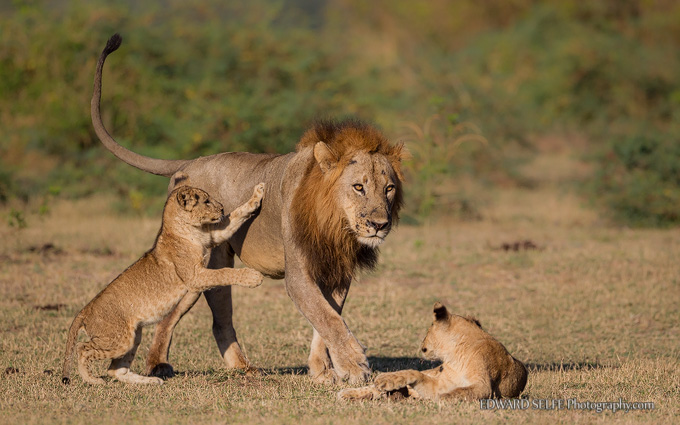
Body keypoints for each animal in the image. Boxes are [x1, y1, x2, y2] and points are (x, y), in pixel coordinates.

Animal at [93, 34, 406, 382]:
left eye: (389, 188)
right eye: (358, 187)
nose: (380, 224)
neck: (337, 226)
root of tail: (191, 162)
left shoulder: (337, 271)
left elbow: (327, 319)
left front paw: (322, 369)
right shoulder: (299, 274)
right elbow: (328, 319)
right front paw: (353, 365)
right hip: (205, 264)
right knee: (200, 318)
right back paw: (173, 364)